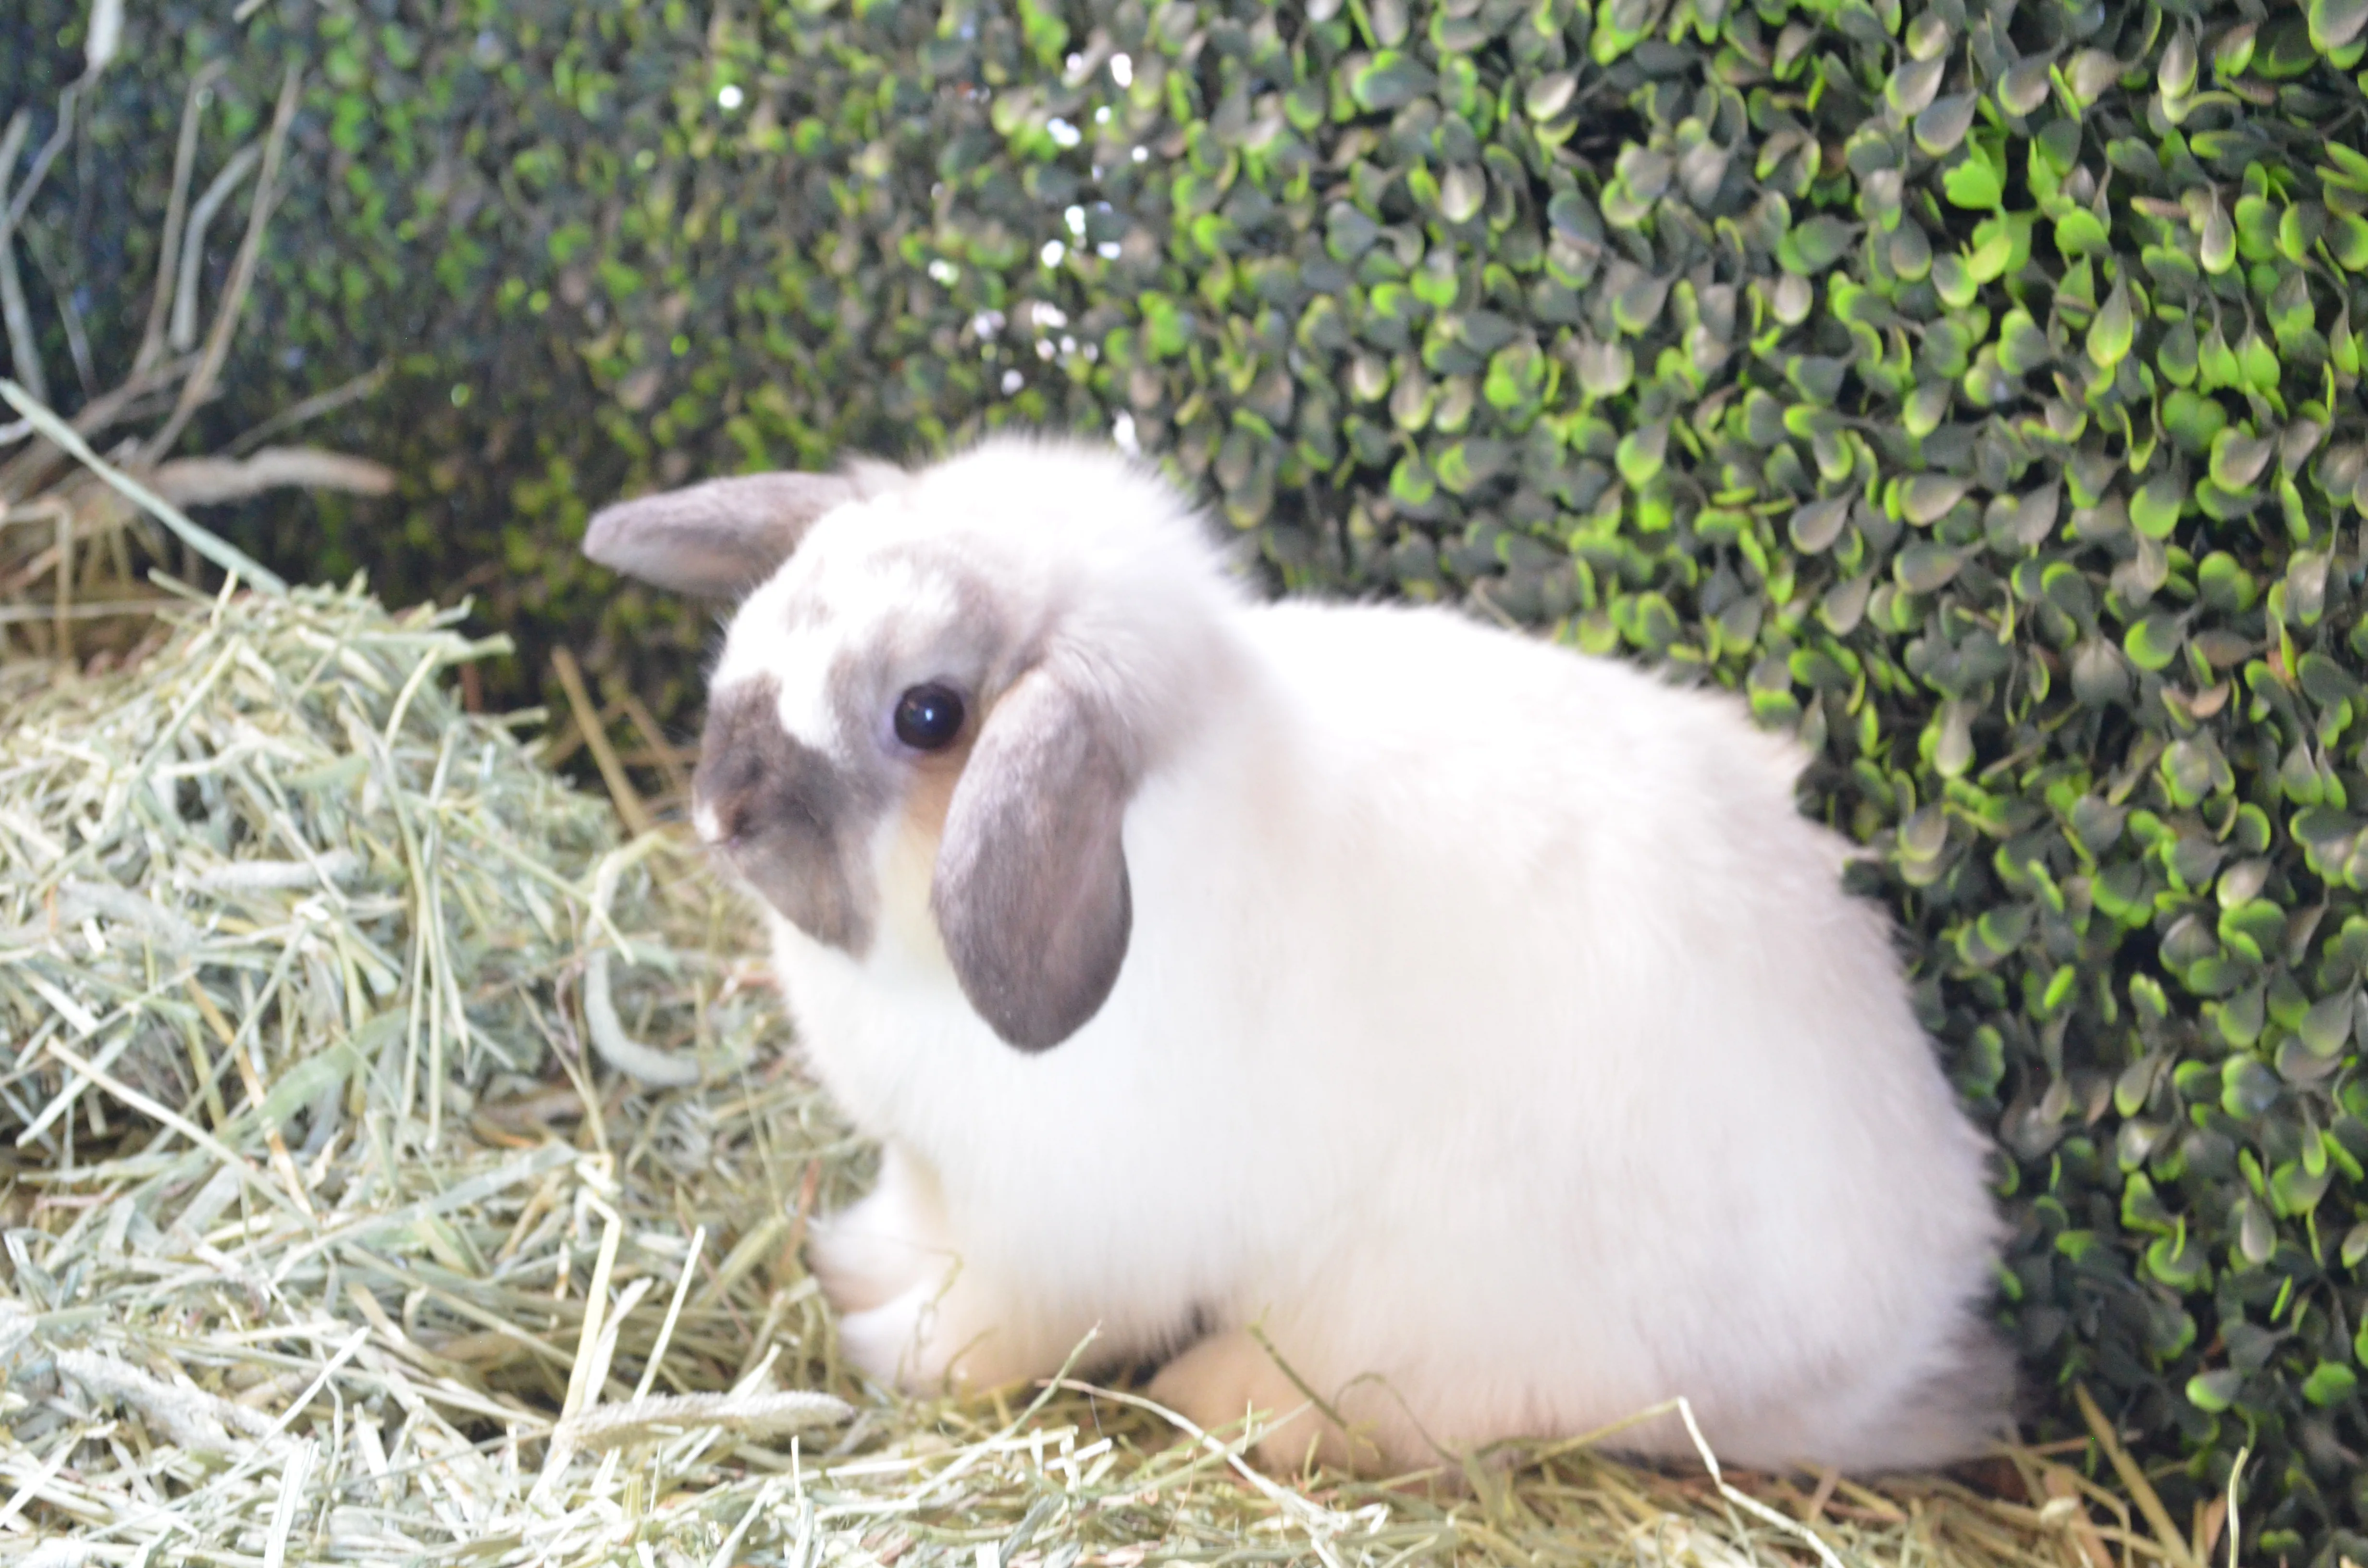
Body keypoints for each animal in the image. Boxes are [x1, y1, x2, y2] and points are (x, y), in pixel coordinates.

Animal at [582, 435, 2013, 1476]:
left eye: (927, 715)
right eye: (779, 604)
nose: (722, 806)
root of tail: (1905, 1312)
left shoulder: (1047, 1237)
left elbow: (987, 1332)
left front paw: (883, 1348)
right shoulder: (934, 1176)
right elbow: (906, 1233)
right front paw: (849, 1266)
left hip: (1439, 1318)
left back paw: (1219, 1397)